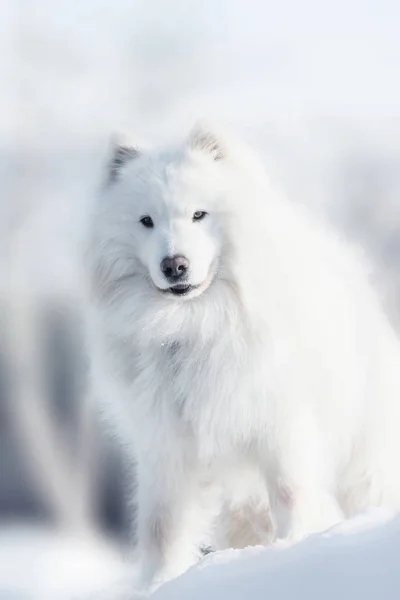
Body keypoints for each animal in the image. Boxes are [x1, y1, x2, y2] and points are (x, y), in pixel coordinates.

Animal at [83, 120, 400, 592]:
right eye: (146, 221)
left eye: (199, 215)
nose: (174, 265)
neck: (194, 326)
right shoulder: (165, 446)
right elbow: (162, 527)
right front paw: (158, 583)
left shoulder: (281, 425)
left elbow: (290, 493)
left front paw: (294, 546)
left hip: (364, 461)